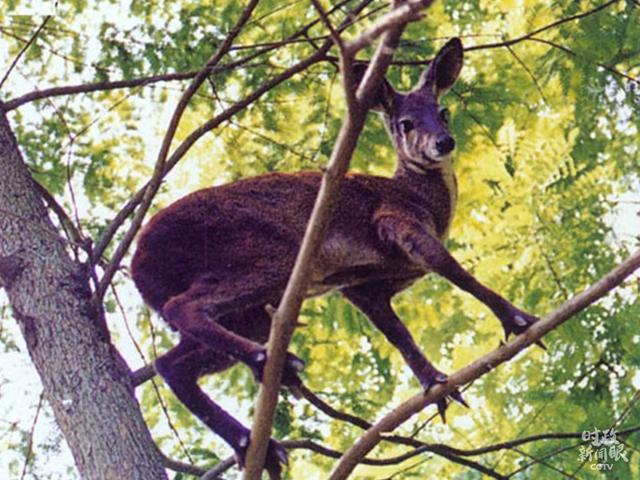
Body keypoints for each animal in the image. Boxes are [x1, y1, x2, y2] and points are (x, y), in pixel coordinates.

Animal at [131, 38, 540, 476]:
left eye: (443, 111)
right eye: (405, 123)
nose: (443, 142)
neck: (420, 199)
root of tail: (139, 265)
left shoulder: (362, 285)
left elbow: (398, 333)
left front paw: (436, 386)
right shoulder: (394, 221)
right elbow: (454, 270)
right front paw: (519, 320)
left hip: (251, 312)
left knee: (171, 363)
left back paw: (259, 442)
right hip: (267, 254)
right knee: (182, 308)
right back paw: (275, 366)